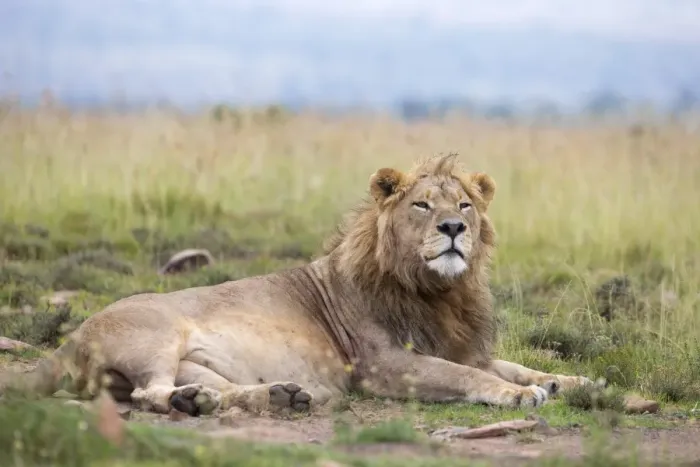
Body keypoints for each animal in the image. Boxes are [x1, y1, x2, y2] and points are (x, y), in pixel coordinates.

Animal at [1, 153, 592, 416]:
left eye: (465, 204)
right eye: (423, 206)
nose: (453, 229)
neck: (438, 290)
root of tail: (70, 338)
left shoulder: (460, 343)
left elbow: (510, 364)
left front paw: (575, 382)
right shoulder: (384, 366)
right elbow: (471, 376)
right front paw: (521, 394)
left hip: (196, 363)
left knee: (199, 390)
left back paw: (273, 395)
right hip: (157, 337)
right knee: (149, 394)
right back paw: (209, 403)